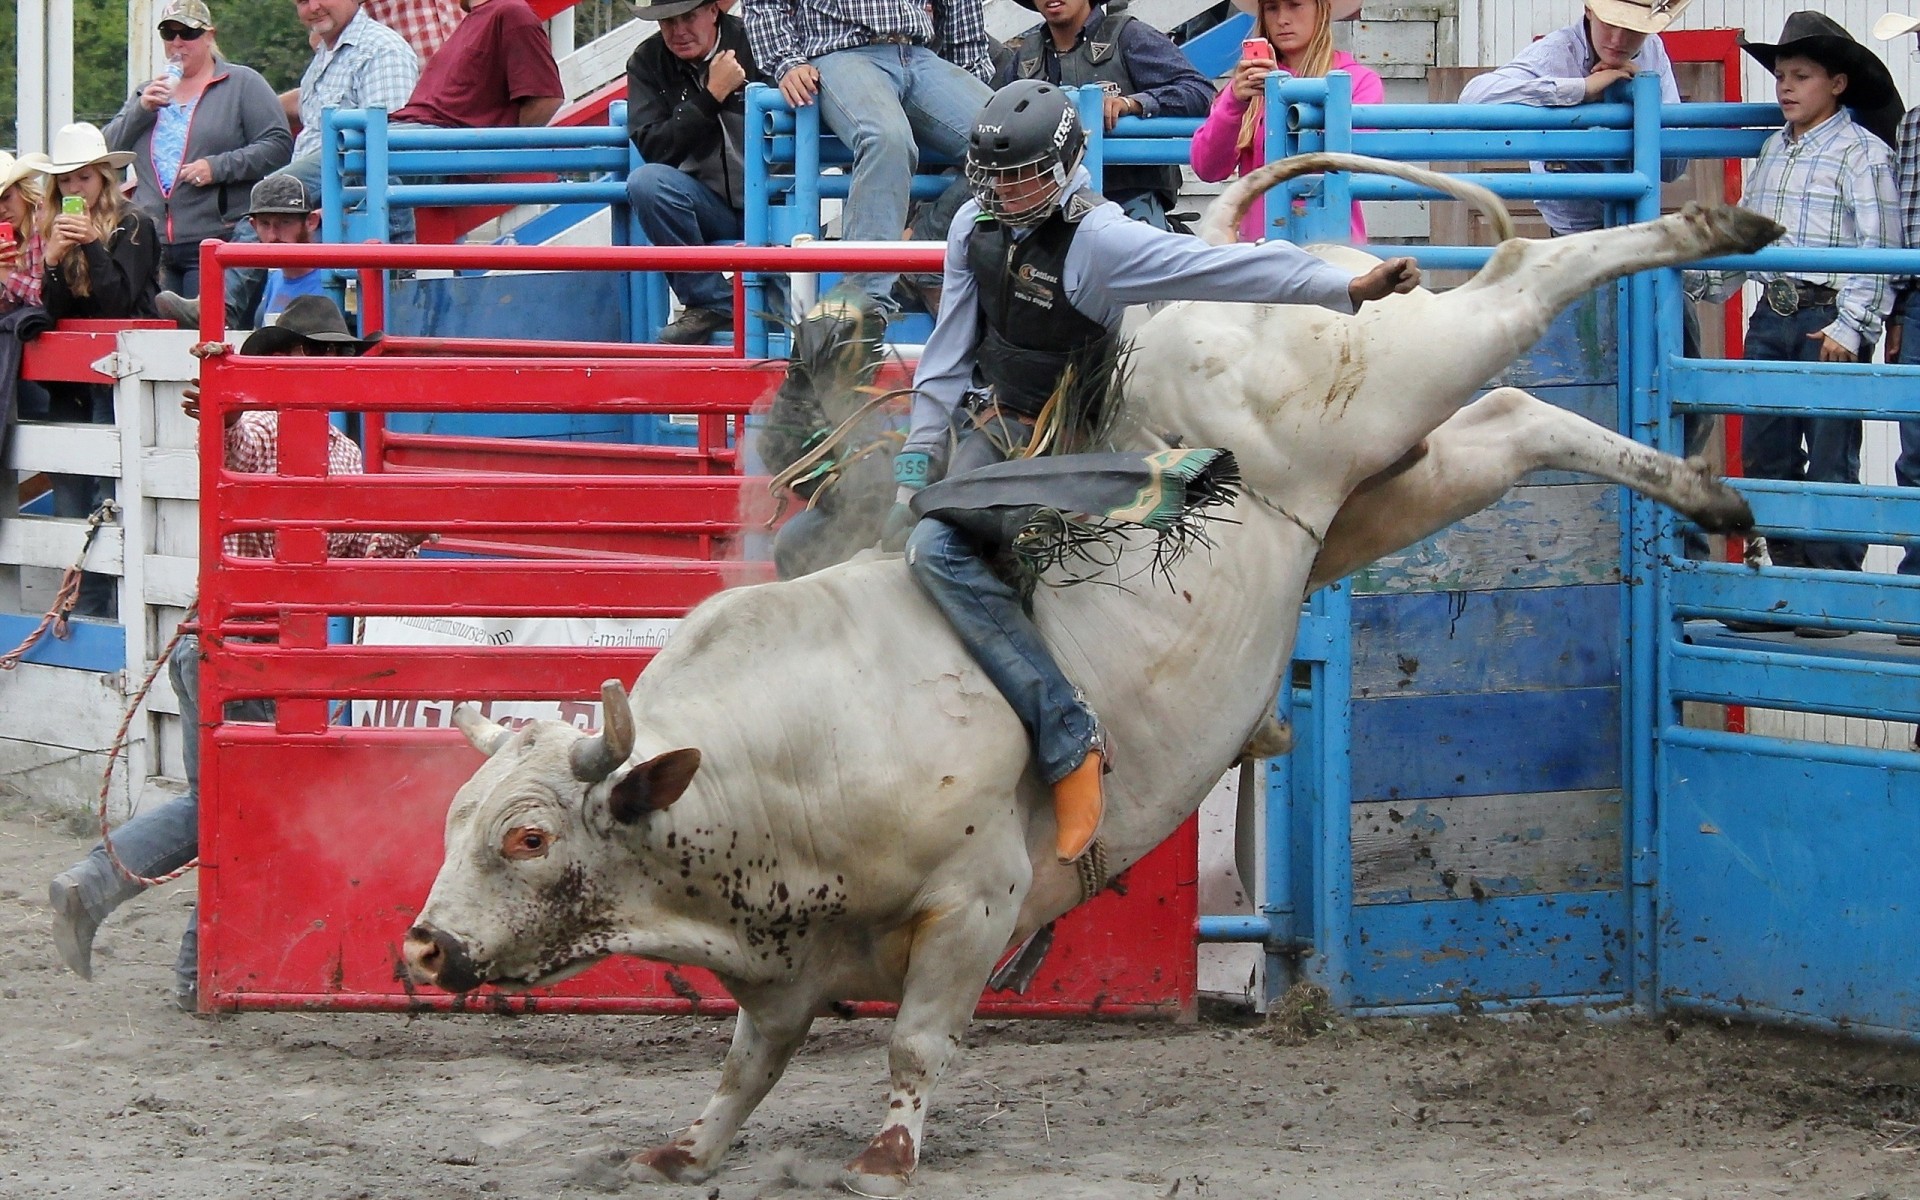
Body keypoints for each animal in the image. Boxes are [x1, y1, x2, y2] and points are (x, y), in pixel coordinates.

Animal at [403, 157, 1780, 1195]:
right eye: (457, 821)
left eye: (527, 837)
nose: (422, 947)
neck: (786, 750)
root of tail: (1192, 291)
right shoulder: (784, 968)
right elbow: (748, 1066)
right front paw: (687, 1148)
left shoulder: (975, 901)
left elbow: (917, 1039)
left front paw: (887, 1152)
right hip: (1371, 489)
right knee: (1516, 420)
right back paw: (1710, 493)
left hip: (1375, 383)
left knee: (1523, 285)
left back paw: (1716, 228)